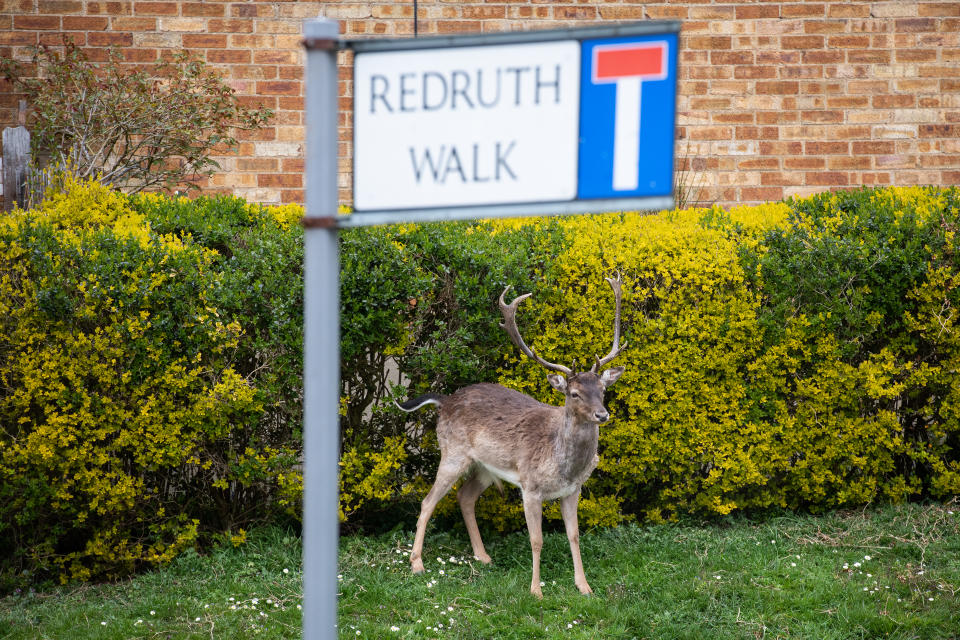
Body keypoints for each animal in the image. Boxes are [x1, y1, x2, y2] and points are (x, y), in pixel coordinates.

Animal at [394, 276, 628, 600]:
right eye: (573, 393)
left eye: (603, 390)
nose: (602, 414)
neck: (563, 464)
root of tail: (445, 400)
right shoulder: (530, 486)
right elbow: (536, 539)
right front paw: (536, 591)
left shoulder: (573, 489)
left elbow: (574, 535)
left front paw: (584, 586)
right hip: (452, 451)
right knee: (428, 501)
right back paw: (417, 563)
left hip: (484, 466)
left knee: (464, 496)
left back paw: (483, 556)